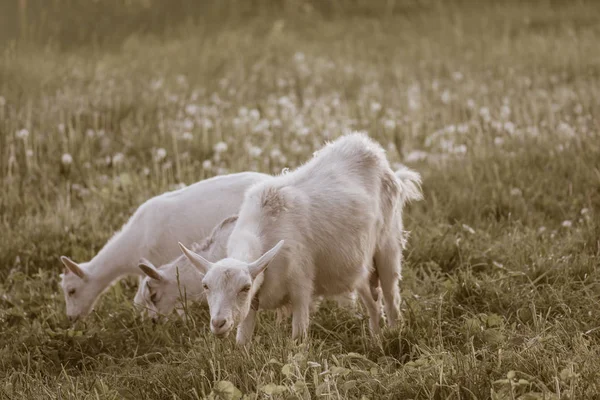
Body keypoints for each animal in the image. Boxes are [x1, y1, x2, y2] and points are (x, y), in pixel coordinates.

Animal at [180, 133, 424, 346]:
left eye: (245, 287)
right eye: (205, 285)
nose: (218, 323)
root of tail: (371, 149)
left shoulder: (301, 285)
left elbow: (298, 337)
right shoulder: (254, 301)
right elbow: (243, 340)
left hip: (388, 246)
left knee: (392, 298)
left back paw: (395, 333)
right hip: (359, 263)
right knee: (373, 301)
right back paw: (375, 338)